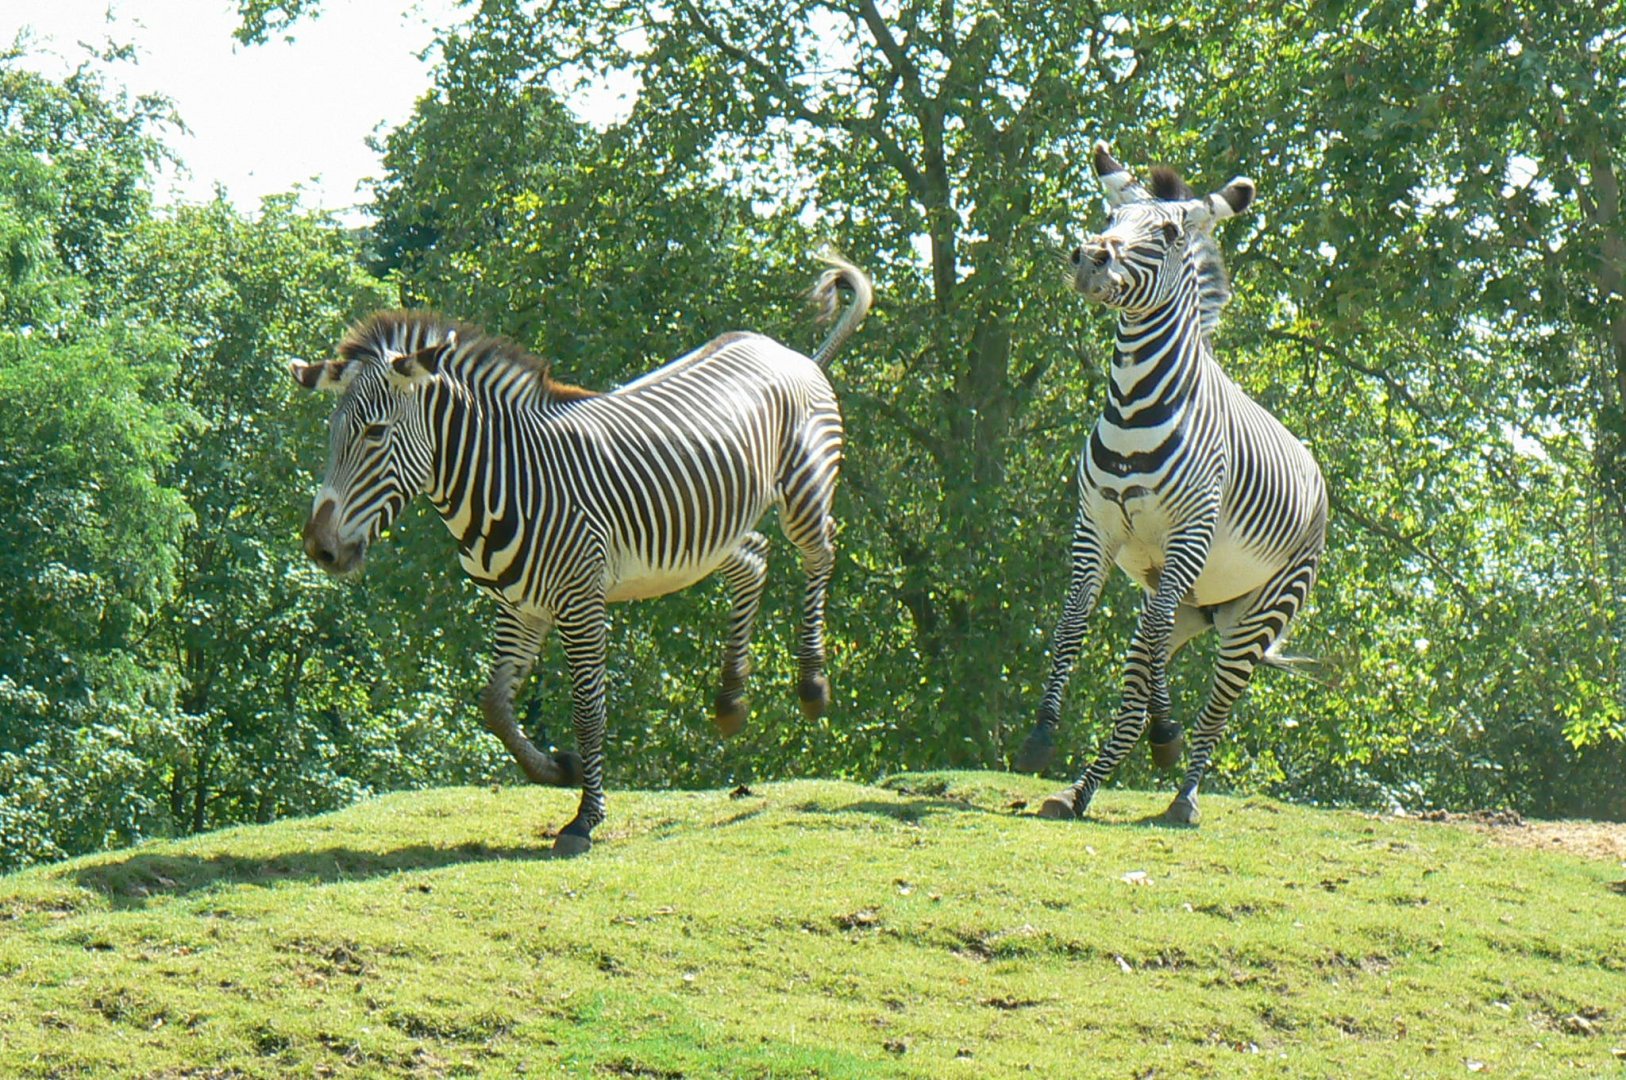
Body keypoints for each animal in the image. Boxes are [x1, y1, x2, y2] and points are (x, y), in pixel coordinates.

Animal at [291, 257, 871, 855]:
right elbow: (494, 705)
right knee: (755, 558)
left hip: (804, 488)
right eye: (332, 433)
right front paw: (559, 769)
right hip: (709, 536)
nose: (320, 547)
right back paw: (730, 701)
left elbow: (589, 709)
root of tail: (783, 349)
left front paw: (585, 818)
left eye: (375, 433)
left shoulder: (580, 603)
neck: (505, 480)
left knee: (821, 552)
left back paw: (812, 684)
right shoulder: (519, 604)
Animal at [1014, 143, 1327, 826]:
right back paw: (1087, 786)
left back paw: (1182, 793)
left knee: (1213, 705)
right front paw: (1042, 734)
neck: (1134, 405)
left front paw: (1162, 734)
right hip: (1186, 598)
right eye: (1111, 215)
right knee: (1145, 660)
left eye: (1166, 233)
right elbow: (1071, 624)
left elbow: (1146, 666)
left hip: (1257, 613)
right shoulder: (1096, 527)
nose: (1091, 256)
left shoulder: (1189, 534)